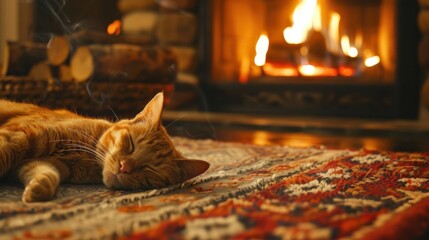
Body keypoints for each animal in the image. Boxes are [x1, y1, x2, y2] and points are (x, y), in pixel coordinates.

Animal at [0, 92, 209, 202]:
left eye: (150, 168)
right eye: (131, 144)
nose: (124, 167)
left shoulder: (40, 163)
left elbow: (48, 174)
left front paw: (38, 189)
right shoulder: (22, 135)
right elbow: (5, 153)